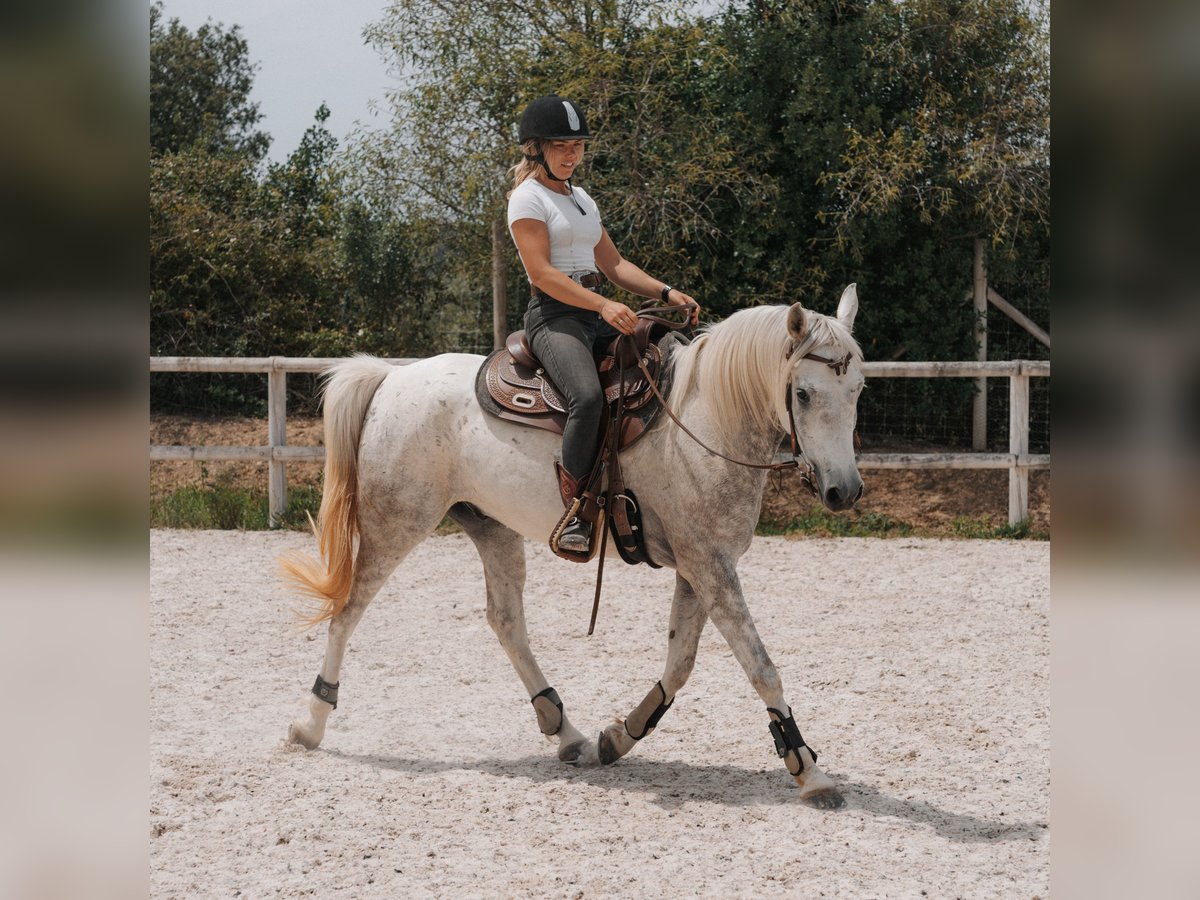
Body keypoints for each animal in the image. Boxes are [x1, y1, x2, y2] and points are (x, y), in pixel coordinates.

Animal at [280, 285, 864, 806]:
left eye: (858, 388)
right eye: (803, 393)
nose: (845, 490)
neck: (707, 421)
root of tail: (393, 376)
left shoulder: (699, 565)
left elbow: (680, 662)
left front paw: (618, 737)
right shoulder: (709, 566)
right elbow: (759, 665)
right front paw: (809, 771)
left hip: (491, 527)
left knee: (506, 621)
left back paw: (566, 731)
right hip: (396, 522)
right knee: (348, 610)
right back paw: (310, 722)